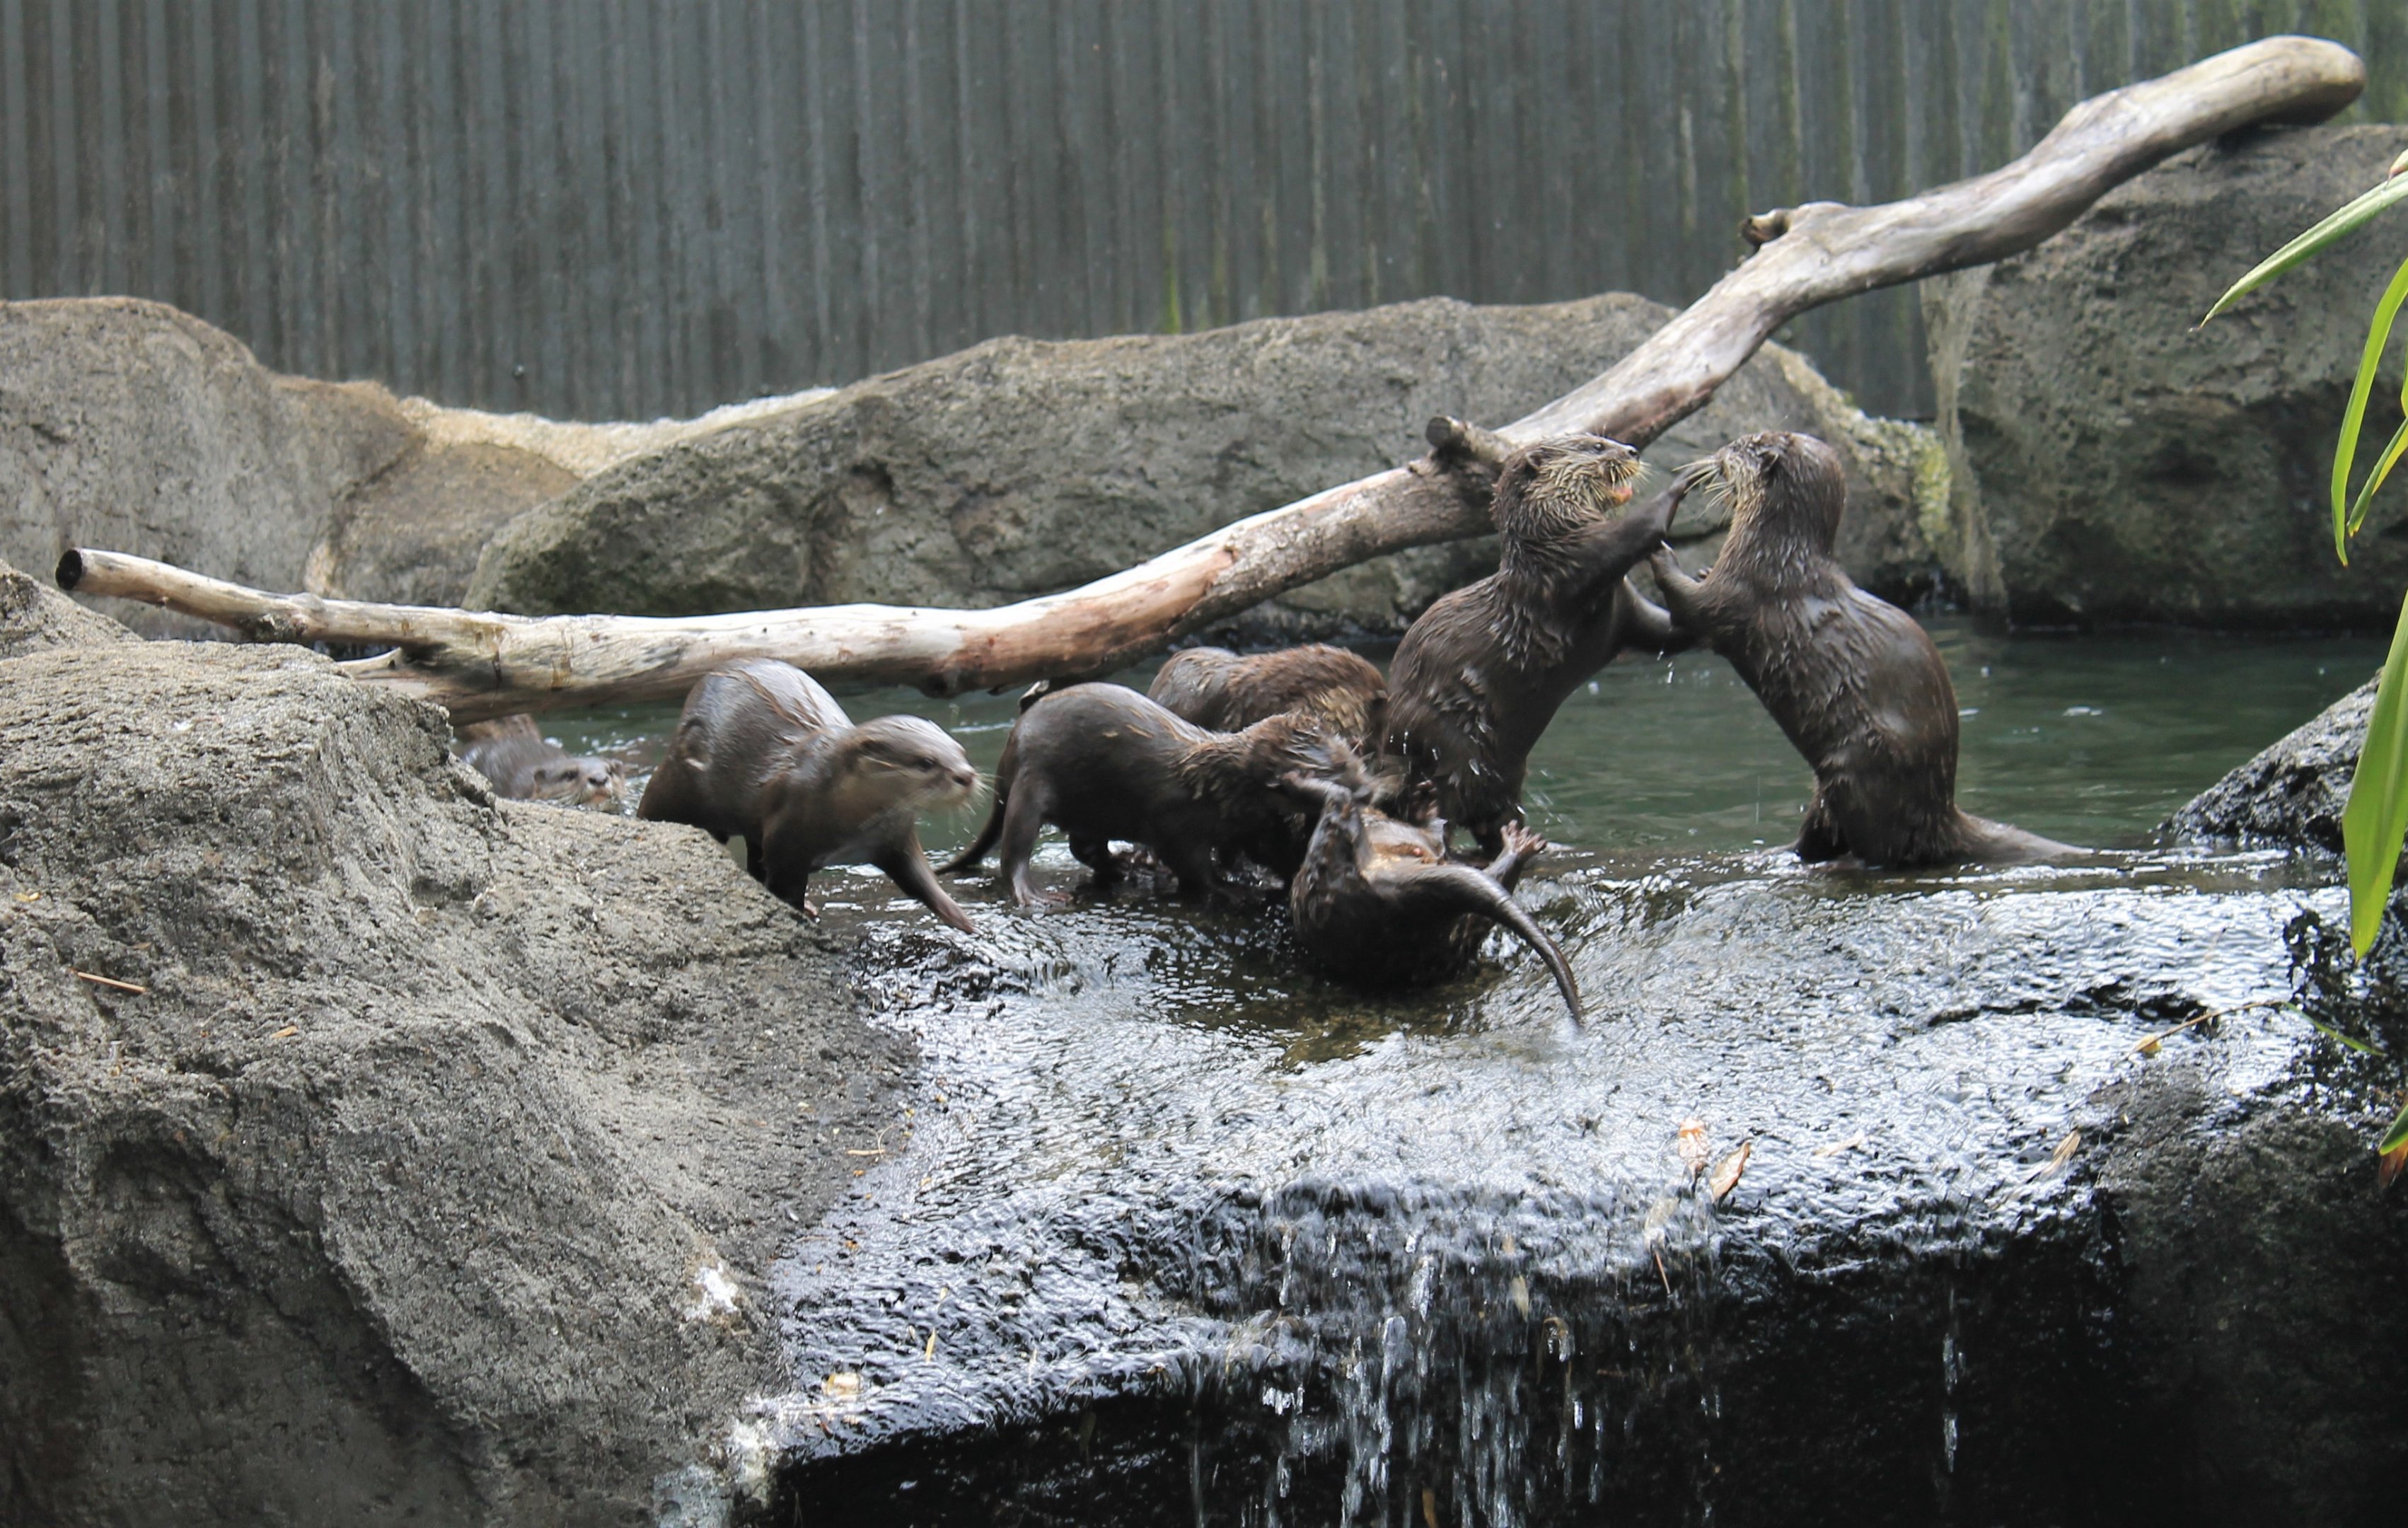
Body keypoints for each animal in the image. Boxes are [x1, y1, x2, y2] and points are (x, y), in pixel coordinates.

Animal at [637, 659, 980, 931]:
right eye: (926, 762)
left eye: (961, 752)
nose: (966, 776)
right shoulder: (787, 834)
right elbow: (784, 885)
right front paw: (799, 913)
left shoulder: (896, 837)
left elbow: (920, 879)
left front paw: (962, 919)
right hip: (677, 782)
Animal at [940, 683, 1331, 907]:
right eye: (1311, 761)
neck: (1217, 786)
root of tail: (1007, 755)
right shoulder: (1176, 822)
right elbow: (1192, 866)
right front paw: (1231, 890)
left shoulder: (1256, 825)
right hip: (1030, 782)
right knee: (1015, 850)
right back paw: (1036, 895)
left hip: (1092, 808)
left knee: (1083, 847)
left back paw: (1121, 866)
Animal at [1382, 433, 1678, 858]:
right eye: (1596, 447)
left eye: (1604, 438)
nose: (1632, 451)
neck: (1548, 543)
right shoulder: (1577, 563)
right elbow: (1635, 531)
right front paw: (1684, 482)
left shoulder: (1625, 609)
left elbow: (1659, 632)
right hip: (1447, 743)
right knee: (1441, 806)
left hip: (1506, 775)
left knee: (1493, 819)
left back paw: (1534, 844)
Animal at [1645, 431, 2076, 868]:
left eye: (1741, 444)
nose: (1717, 453)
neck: (1777, 550)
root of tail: (1941, 813)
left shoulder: (1742, 585)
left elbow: (1695, 605)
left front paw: (1663, 555)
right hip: (1825, 786)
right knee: (1820, 832)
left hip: (1860, 771)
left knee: (1882, 848)